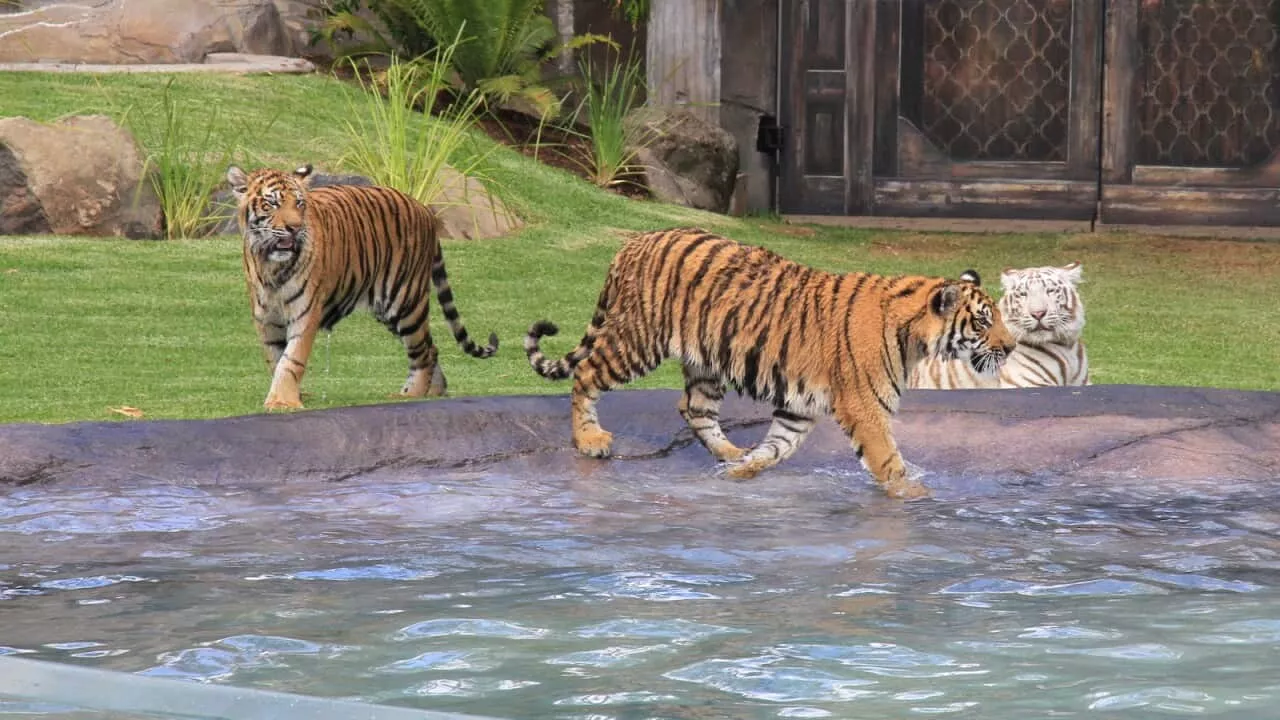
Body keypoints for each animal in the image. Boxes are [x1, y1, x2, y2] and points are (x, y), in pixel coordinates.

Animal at [225, 162, 494, 409]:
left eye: (299, 204)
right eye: (272, 203)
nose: (295, 228)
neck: (271, 265)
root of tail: (424, 209)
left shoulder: (305, 313)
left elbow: (292, 360)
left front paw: (283, 402)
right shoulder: (266, 318)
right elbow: (275, 358)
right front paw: (289, 396)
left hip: (404, 301)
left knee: (423, 353)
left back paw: (411, 395)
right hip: (389, 311)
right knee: (432, 347)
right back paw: (435, 392)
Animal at [524, 226, 1013, 497]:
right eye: (984, 322)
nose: (1010, 347)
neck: (913, 335)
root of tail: (636, 241)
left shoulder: (800, 407)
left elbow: (777, 446)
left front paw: (743, 471)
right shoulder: (865, 409)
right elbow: (889, 462)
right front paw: (915, 495)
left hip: (706, 362)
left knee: (692, 408)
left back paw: (728, 453)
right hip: (637, 342)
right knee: (585, 374)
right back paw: (590, 440)